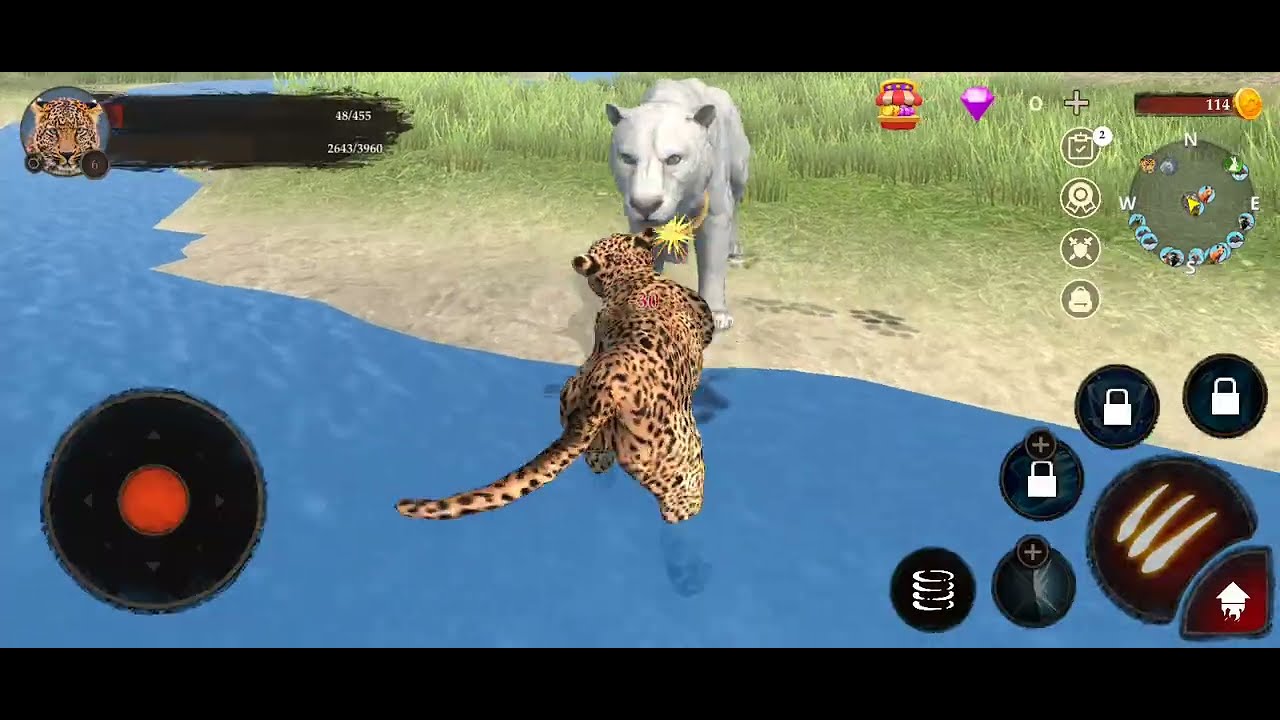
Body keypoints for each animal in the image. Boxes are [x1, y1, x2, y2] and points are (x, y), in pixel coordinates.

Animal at [396, 225, 716, 524]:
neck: (629, 278)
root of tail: (605, 390)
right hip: (682, 460)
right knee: (681, 497)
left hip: (573, 395)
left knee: (594, 454)